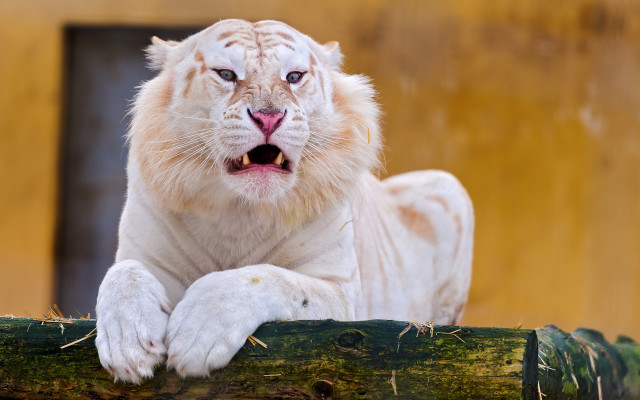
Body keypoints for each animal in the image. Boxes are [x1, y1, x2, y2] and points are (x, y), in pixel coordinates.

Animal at [95, 19, 474, 383]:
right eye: (226, 74)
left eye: (294, 76)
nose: (269, 117)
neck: (239, 211)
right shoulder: (145, 255)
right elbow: (122, 274)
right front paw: (127, 346)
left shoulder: (341, 292)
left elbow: (271, 279)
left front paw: (196, 333)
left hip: (449, 187)